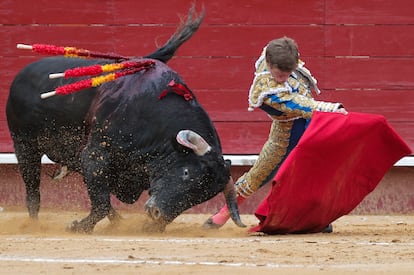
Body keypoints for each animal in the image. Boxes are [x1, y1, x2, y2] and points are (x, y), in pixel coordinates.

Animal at [5, 7, 246, 233]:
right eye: (186, 173)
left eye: (200, 197)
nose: (157, 213)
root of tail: (21, 76)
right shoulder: (95, 155)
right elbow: (100, 204)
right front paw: (77, 227)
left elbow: (103, 199)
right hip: (25, 145)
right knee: (33, 190)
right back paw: (34, 225)